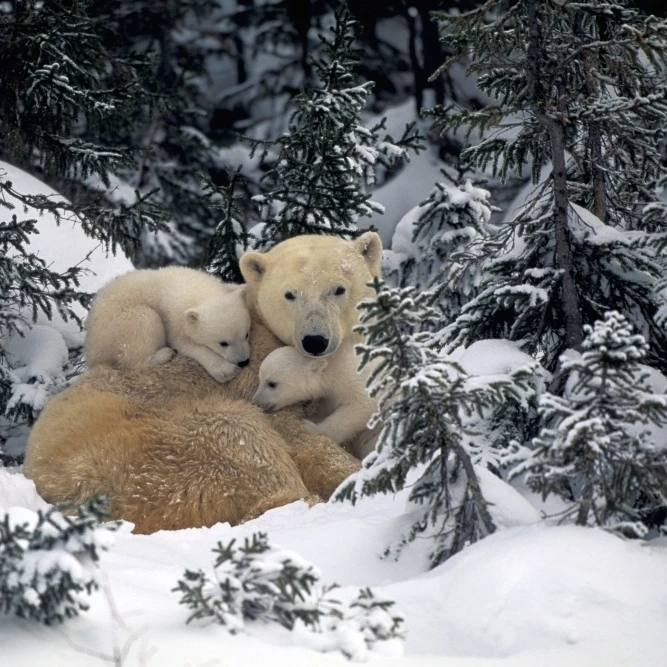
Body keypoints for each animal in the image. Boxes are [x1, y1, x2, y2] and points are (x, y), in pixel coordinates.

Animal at [84, 266, 251, 383]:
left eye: (246, 334)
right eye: (223, 343)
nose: (244, 361)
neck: (194, 288)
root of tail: (90, 351)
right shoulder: (173, 318)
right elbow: (183, 343)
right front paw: (226, 370)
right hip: (116, 328)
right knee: (143, 325)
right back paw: (164, 354)